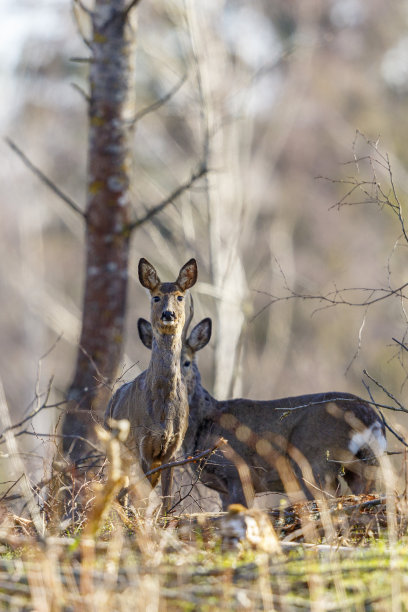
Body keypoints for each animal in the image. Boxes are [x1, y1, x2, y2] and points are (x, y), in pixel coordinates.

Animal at [105, 258, 198, 512]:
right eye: (156, 297)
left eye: (180, 297)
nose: (168, 313)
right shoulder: (142, 442)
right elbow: (144, 497)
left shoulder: (172, 449)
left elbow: (166, 498)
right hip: (114, 447)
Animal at [137, 316, 386, 506]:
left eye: (187, 362)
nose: (172, 385)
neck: (205, 423)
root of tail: (370, 417)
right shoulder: (222, 488)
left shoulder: (237, 473)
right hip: (364, 464)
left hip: (315, 461)